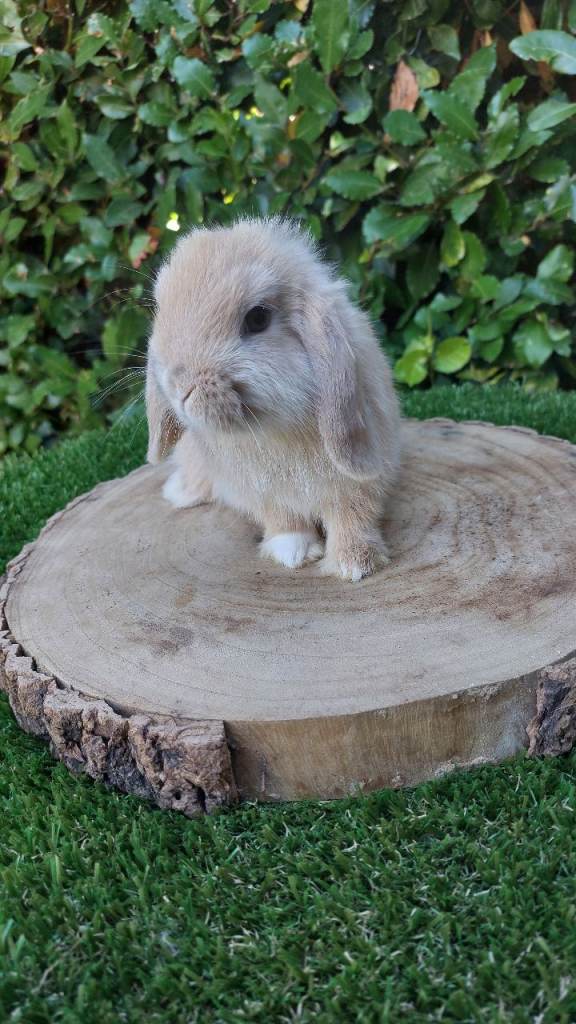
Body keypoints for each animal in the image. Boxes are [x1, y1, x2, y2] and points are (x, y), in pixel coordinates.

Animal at [145, 217, 401, 581]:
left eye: (257, 318)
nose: (179, 385)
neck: (272, 429)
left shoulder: (356, 481)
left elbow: (352, 514)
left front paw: (354, 564)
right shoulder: (261, 491)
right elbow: (283, 518)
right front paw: (292, 552)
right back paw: (180, 492)